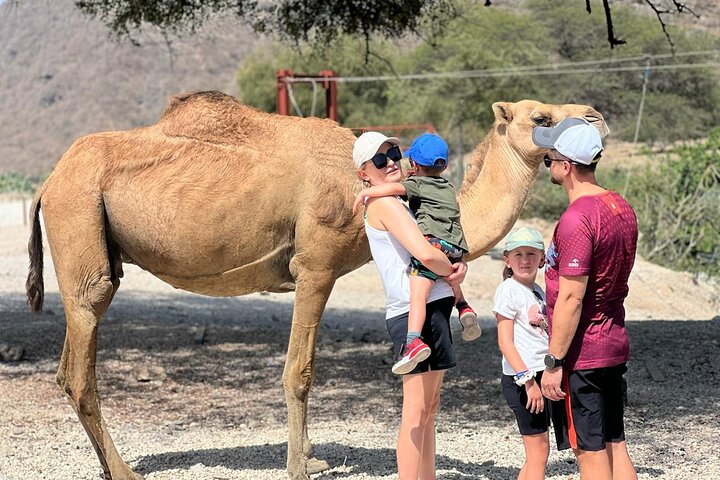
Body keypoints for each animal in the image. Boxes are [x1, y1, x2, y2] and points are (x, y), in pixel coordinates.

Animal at [25, 91, 607, 480]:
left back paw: (110, 467)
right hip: (80, 222)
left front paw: (313, 457)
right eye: (540, 117)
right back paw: (123, 471)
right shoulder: (317, 264)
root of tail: (48, 182)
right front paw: (298, 468)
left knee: (68, 365)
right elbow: (299, 372)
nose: (596, 116)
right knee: (81, 363)